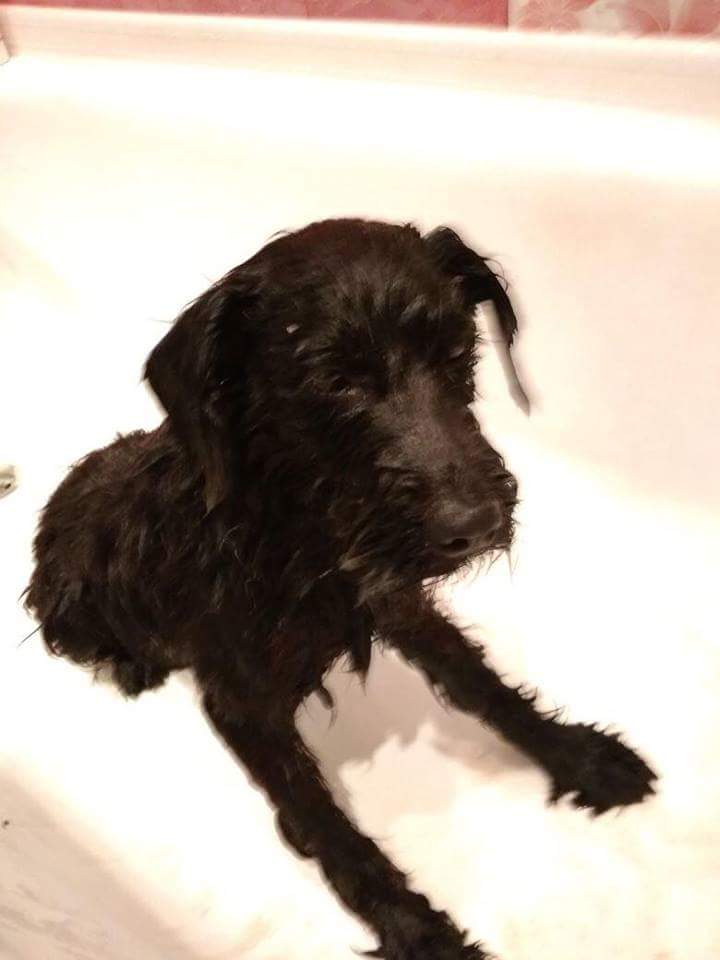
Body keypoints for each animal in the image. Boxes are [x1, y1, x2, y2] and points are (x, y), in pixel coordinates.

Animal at [26, 219, 656, 960]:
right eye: (334, 382)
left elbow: (481, 683)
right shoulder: (242, 703)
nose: (473, 525)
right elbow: (325, 823)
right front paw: (414, 927)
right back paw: (131, 665)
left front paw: (579, 755)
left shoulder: (395, 596)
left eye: (457, 353)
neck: (298, 533)